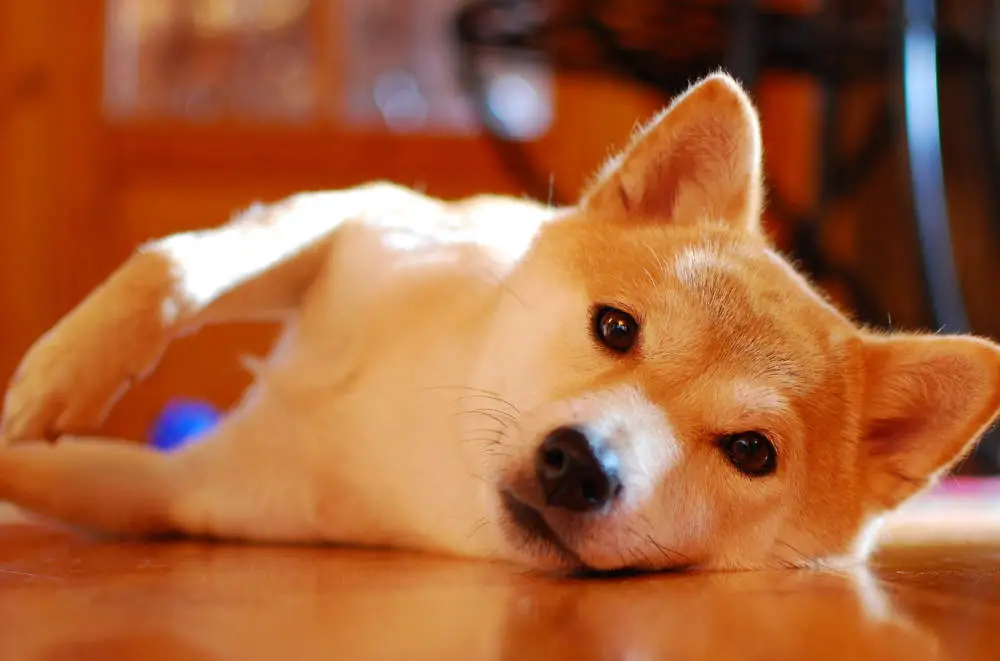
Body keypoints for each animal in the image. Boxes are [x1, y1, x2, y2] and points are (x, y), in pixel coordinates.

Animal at [1, 73, 1000, 572]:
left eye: (751, 451)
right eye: (615, 328)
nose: (579, 465)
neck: (421, 438)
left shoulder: (177, 493)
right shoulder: (364, 218)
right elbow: (173, 266)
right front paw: (66, 371)